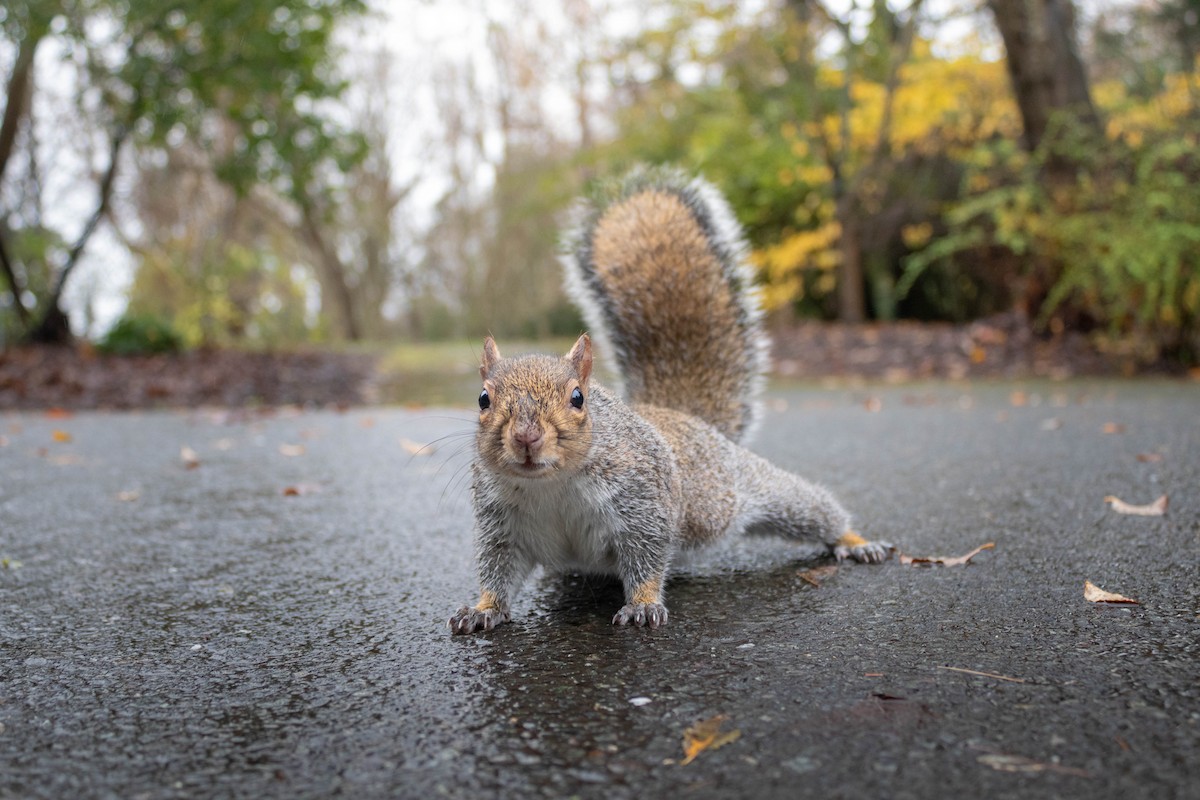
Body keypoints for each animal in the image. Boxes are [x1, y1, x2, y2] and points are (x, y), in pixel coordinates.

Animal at [449, 166, 892, 634]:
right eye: (483, 399)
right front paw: (482, 609)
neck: (551, 484)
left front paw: (643, 604)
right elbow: (498, 568)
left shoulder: (643, 501)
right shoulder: (502, 524)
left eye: (578, 398)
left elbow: (648, 555)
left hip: (742, 491)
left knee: (811, 508)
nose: (526, 438)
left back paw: (855, 542)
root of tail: (681, 416)